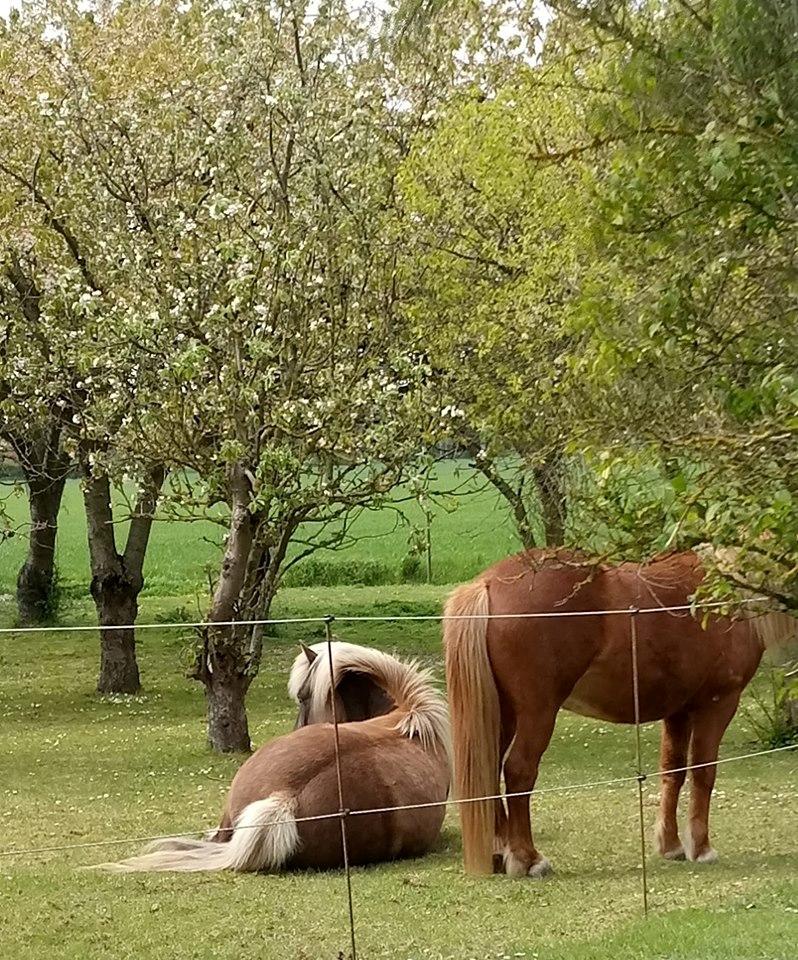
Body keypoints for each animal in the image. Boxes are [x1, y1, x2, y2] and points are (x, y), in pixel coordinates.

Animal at [446, 548, 792, 876]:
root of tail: (488, 583)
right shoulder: (718, 704)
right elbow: (703, 773)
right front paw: (702, 848)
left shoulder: (678, 711)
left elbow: (673, 771)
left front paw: (671, 845)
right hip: (537, 712)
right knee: (519, 771)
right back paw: (527, 859)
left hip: (502, 712)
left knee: (490, 768)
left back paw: (499, 853)